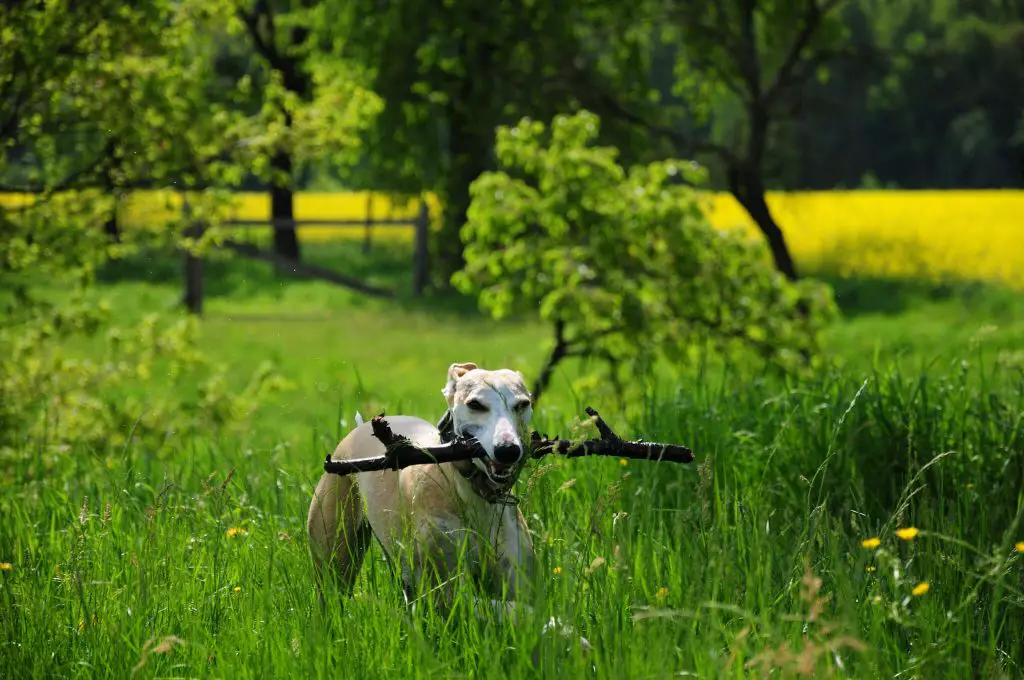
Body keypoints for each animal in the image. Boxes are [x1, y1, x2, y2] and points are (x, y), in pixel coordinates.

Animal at [307, 360, 540, 626]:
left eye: (523, 404)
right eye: (475, 404)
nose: (508, 450)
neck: (473, 494)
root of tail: (360, 428)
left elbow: (525, 607)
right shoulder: (446, 593)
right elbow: (512, 610)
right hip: (333, 555)